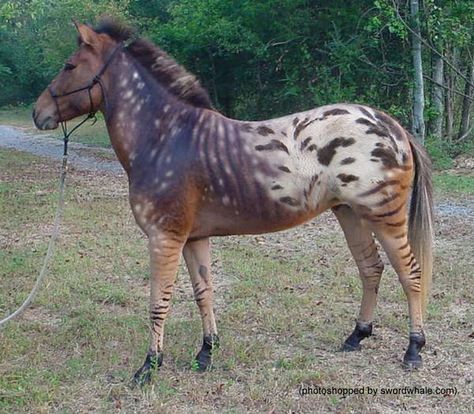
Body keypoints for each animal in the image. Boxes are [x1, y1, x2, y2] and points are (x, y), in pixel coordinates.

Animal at [33, 18, 434, 382]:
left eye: (70, 66)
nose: (39, 113)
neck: (165, 137)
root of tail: (394, 126)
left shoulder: (164, 237)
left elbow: (158, 302)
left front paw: (149, 367)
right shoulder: (193, 237)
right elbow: (203, 292)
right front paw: (206, 353)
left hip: (384, 215)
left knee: (410, 273)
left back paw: (414, 349)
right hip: (349, 213)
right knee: (372, 269)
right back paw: (356, 336)